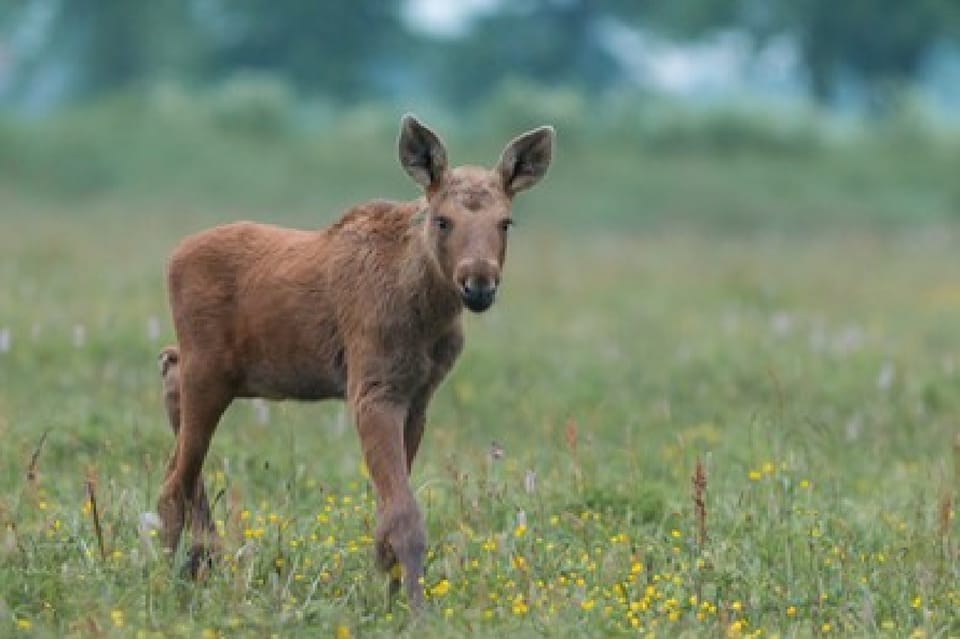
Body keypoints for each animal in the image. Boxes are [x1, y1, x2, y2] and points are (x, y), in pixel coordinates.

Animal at [158, 115, 556, 608]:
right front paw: (414, 609)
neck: (427, 309)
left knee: (171, 392)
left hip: (221, 372)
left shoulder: (418, 398)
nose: (478, 284)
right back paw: (175, 578)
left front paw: (389, 592)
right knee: (172, 483)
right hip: (209, 370)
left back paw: (201, 562)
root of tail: (172, 258)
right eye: (443, 220)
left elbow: (387, 513)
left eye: (506, 222)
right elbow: (404, 516)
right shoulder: (372, 390)